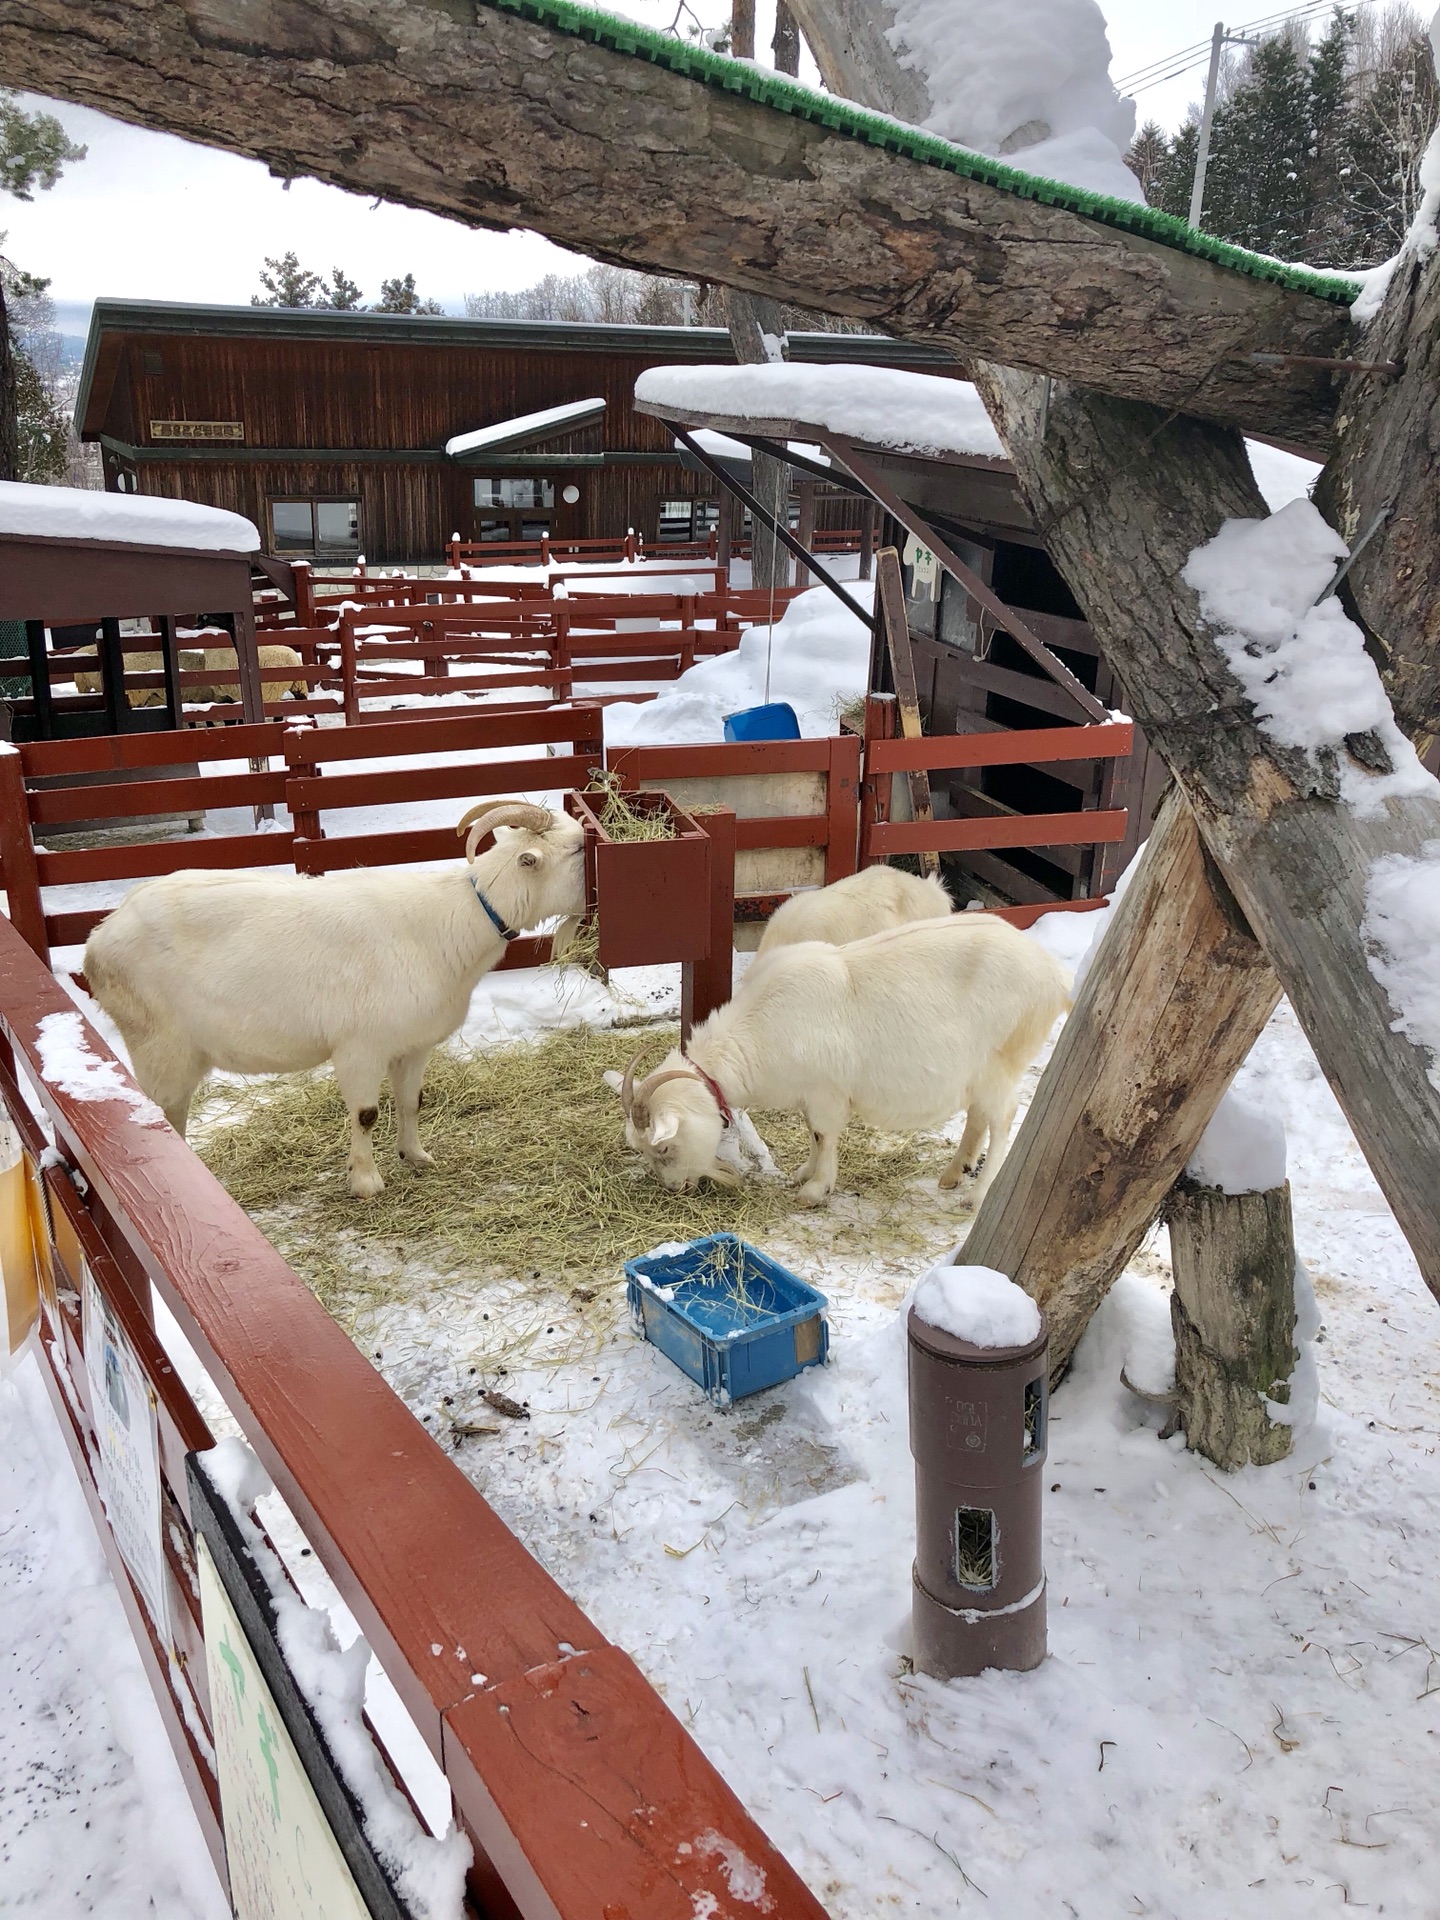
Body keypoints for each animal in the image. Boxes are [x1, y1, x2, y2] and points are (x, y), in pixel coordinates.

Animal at [85, 798, 587, 1190]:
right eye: (579, 849)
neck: (453, 920)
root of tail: (97, 943)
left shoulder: (412, 1044)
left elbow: (411, 1102)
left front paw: (416, 1156)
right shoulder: (359, 1047)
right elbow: (366, 1113)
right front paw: (366, 1182)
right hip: (158, 1045)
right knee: (162, 1117)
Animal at [610, 910, 1075, 1198]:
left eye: (663, 1149)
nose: (675, 1188)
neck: (758, 1029)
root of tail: (1056, 977)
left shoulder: (826, 1091)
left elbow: (825, 1133)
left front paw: (816, 1189)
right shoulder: (809, 1095)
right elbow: (812, 1133)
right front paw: (804, 1173)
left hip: (1003, 1062)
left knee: (1004, 1117)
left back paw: (977, 1196)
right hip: (978, 1074)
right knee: (979, 1117)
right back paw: (951, 1176)